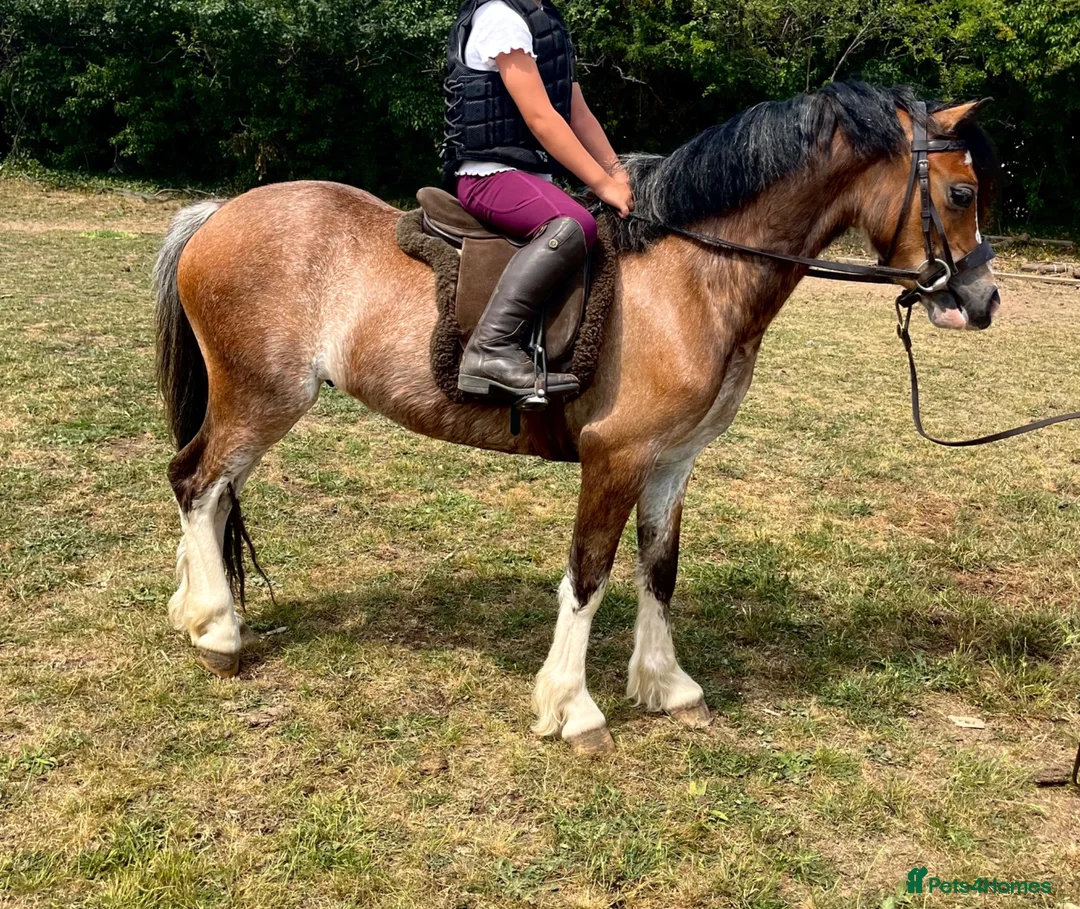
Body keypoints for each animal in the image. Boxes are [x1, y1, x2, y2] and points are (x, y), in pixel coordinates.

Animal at [153, 81, 1000, 754]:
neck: (691, 272)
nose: (984, 301)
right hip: (262, 397)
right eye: (960, 194)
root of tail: (218, 215)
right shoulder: (616, 456)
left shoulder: (671, 461)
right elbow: (588, 575)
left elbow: (659, 569)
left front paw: (667, 686)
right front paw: (575, 708)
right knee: (197, 481)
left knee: (206, 489)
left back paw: (193, 612)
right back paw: (217, 629)